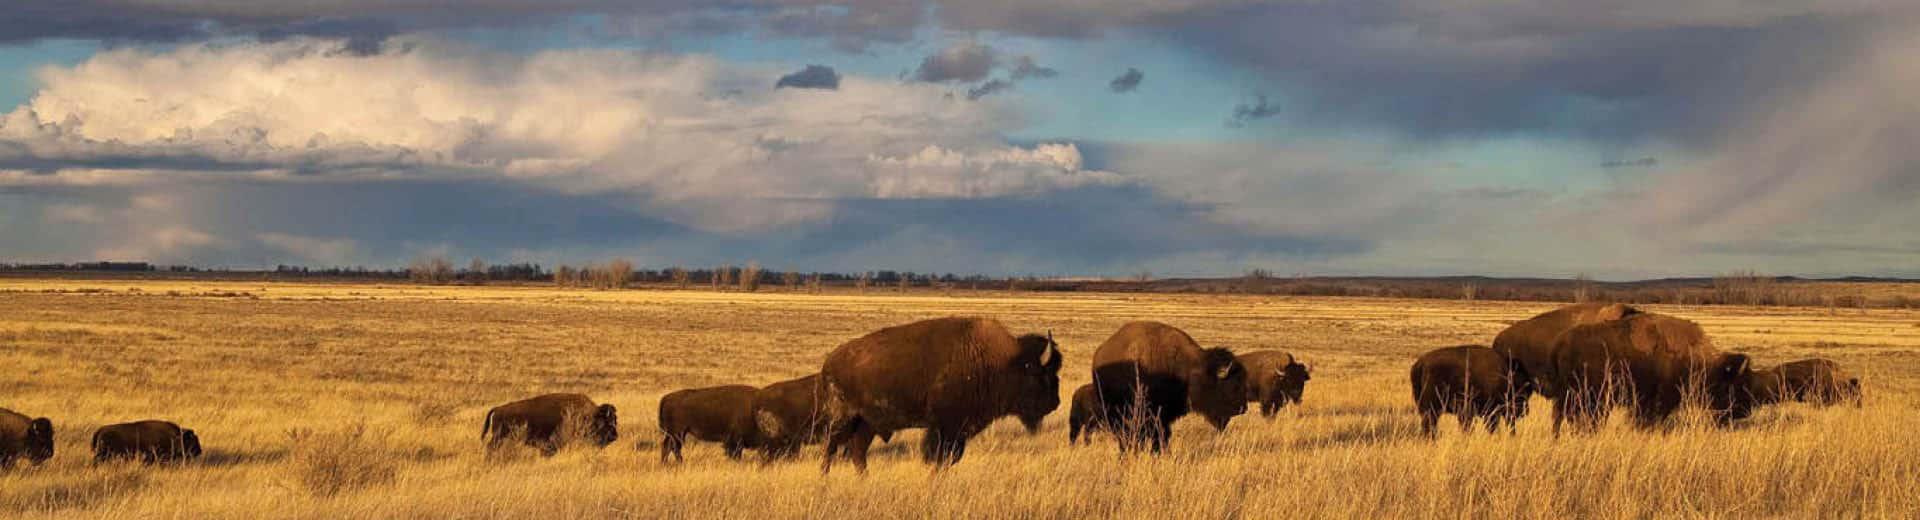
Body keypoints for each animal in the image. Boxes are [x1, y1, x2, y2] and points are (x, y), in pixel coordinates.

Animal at [819, 317, 1062, 473]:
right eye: (1042, 373)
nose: (1056, 402)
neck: (1003, 362)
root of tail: (829, 362)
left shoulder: (958, 430)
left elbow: (950, 457)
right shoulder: (944, 427)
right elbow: (938, 456)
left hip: (867, 424)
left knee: (857, 452)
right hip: (844, 419)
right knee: (831, 448)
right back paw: (825, 478)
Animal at [1090, 321, 1247, 453]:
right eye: (1233, 384)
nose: (1243, 408)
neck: (1191, 368)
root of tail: (1099, 353)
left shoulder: (1164, 417)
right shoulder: (1155, 415)